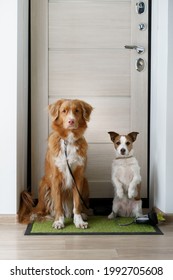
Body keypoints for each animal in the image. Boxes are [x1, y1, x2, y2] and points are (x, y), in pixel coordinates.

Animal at [18, 99, 92, 229]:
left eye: (77, 111)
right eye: (64, 111)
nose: (71, 121)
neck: (68, 141)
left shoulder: (78, 177)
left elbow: (77, 203)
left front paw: (79, 221)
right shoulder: (56, 178)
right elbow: (58, 204)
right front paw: (58, 221)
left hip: (85, 182)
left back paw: (83, 214)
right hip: (44, 185)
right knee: (38, 210)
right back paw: (37, 216)